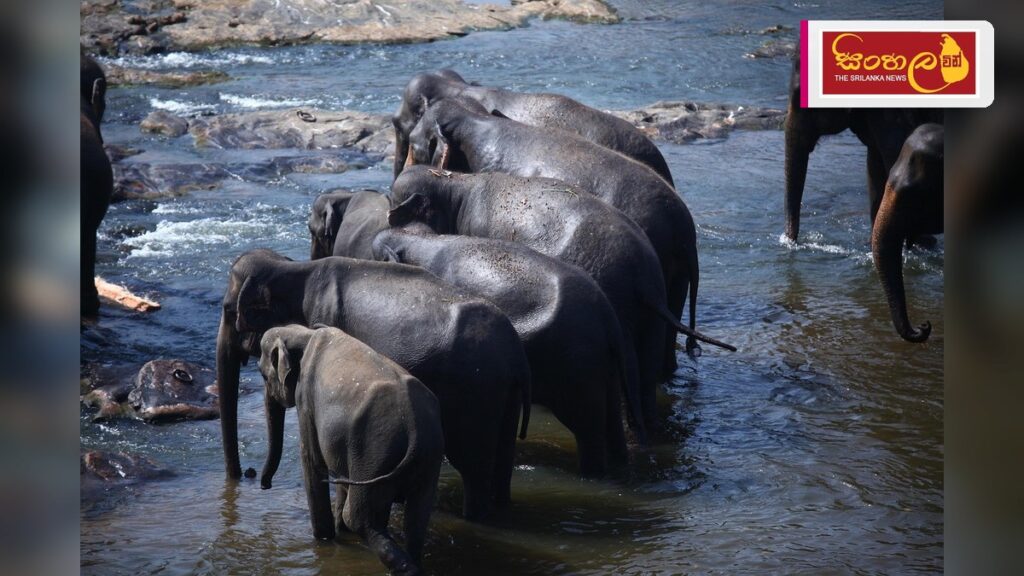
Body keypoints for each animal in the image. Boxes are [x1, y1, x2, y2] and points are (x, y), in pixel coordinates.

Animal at [216, 249, 529, 521]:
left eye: (228, 309)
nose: (251, 476)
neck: (294, 269)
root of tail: (515, 352)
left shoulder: (323, 320)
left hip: (476, 393)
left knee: (473, 469)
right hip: (505, 394)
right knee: (502, 463)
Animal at [258, 325, 443, 576]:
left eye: (263, 375)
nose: (264, 485)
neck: (305, 333)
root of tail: (414, 427)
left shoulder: (305, 400)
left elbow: (312, 461)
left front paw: (324, 538)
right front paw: (337, 533)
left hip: (373, 453)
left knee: (359, 517)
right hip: (426, 458)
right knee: (417, 517)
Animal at [372, 228, 635, 473]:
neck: (421, 240)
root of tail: (607, 316)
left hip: (577, 363)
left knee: (588, 428)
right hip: (603, 363)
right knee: (612, 423)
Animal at [387, 166, 734, 431]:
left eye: (394, 203)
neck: (455, 182)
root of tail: (643, 278)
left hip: (619, 305)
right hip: (655, 309)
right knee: (647, 376)